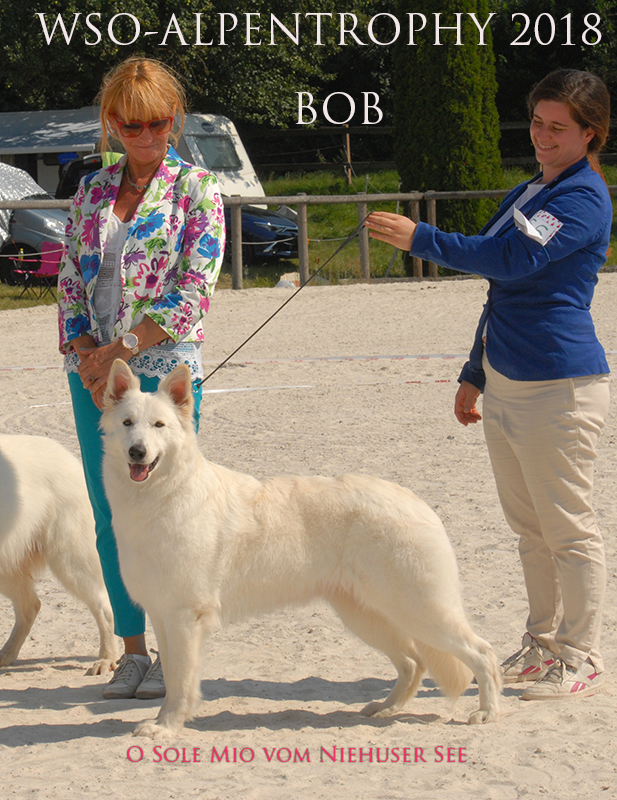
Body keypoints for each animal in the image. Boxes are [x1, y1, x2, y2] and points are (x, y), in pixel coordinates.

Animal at [0, 438, 117, 676]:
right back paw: (6, 654)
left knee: (104, 606)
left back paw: (106, 659)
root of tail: (68, 456)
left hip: (71, 561)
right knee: (30, 606)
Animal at [101, 360, 500, 740]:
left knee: (482, 653)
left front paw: (167, 727)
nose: (138, 451)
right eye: (127, 423)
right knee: (414, 663)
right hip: (369, 616)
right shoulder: (163, 616)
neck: (163, 495)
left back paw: (487, 712)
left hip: (420, 611)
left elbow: (181, 682)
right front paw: (165, 722)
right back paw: (385, 709)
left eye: (159, 425)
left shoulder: (185, 617)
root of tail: (415, 501)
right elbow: (171, 676)